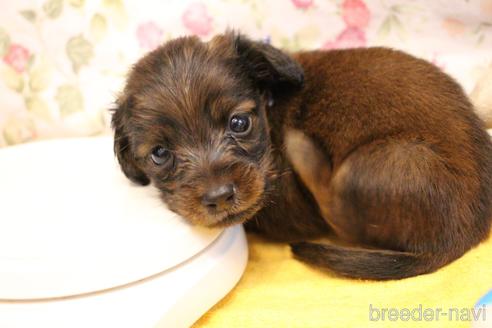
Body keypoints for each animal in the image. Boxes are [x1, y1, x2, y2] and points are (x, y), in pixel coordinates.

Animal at [111, 31, 492, 280]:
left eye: (239, 122)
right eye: (160, 153)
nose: (219, 196)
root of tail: (466, 236)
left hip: (385, 163)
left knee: (339, 215)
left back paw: (305, 152)